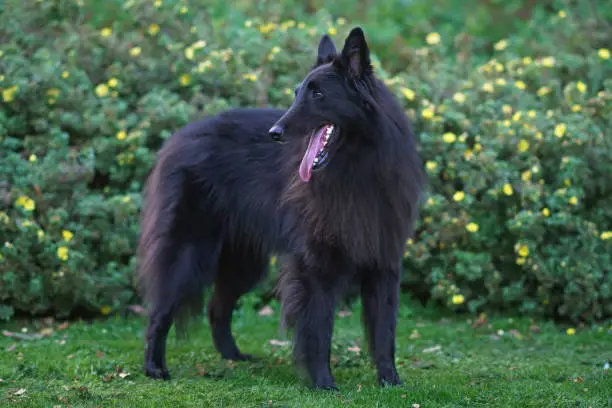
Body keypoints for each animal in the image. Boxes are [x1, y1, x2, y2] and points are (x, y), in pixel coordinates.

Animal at [139, 27, 426, 390]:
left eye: (318, 94)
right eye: (297, 93)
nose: (274, 132)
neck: (357, 168)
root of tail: (178, 138)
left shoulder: (384, 263)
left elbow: (385, 329)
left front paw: (390, 380)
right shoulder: (315, 266)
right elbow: (319, 327)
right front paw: (323, 382)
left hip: (244, 263)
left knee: (218, 308)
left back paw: (233, 356)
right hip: (189, 253)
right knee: (159, 311)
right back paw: (154, 367)